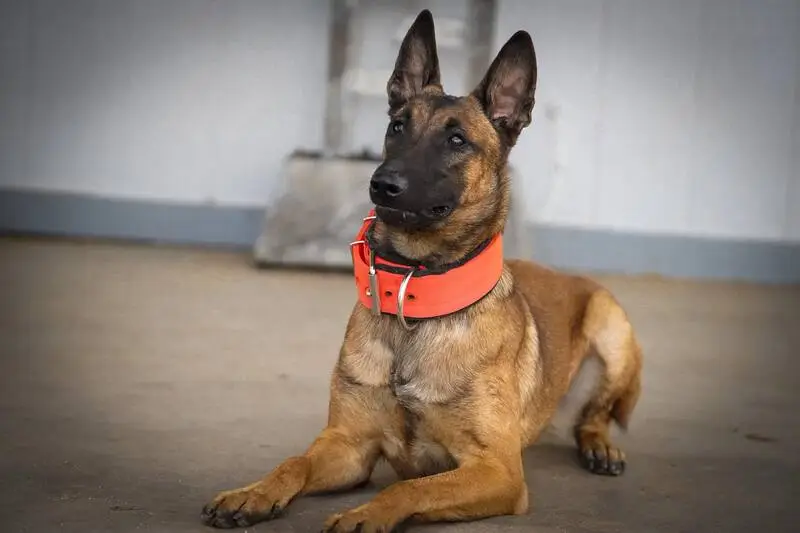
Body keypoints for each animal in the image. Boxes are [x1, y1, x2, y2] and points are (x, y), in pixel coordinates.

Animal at [201, 10, 643, 532]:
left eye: (456, 140)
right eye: (396, 127)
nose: (382, 184)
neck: (415, 301)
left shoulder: (497, 471)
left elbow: (410, 486)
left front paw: (365, 515)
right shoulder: (348, 446)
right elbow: (294, 462)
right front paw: (252, 493)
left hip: (612, 328)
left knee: (596, 416)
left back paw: (600, 447)